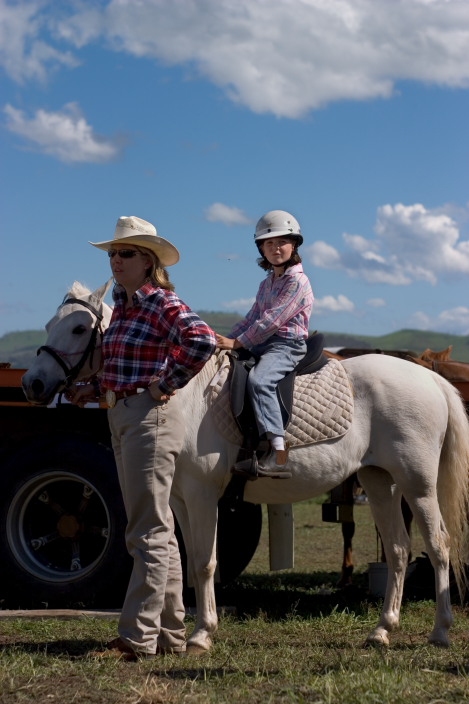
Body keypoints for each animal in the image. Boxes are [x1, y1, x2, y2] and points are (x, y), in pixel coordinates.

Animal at [22, 282, 469, 656]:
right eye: (49, 324)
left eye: (79, 328)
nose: (33, 384)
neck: (184, 396)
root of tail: (431, 379)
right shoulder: (181, 498)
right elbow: (191, 561)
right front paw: (184, 633)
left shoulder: (203, 494)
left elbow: (205, 562)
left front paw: (201, 635)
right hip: (380, 482)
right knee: (398, 550)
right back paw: (382, 630)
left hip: (418, 485)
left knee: (439, 546)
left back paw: (440, 631)